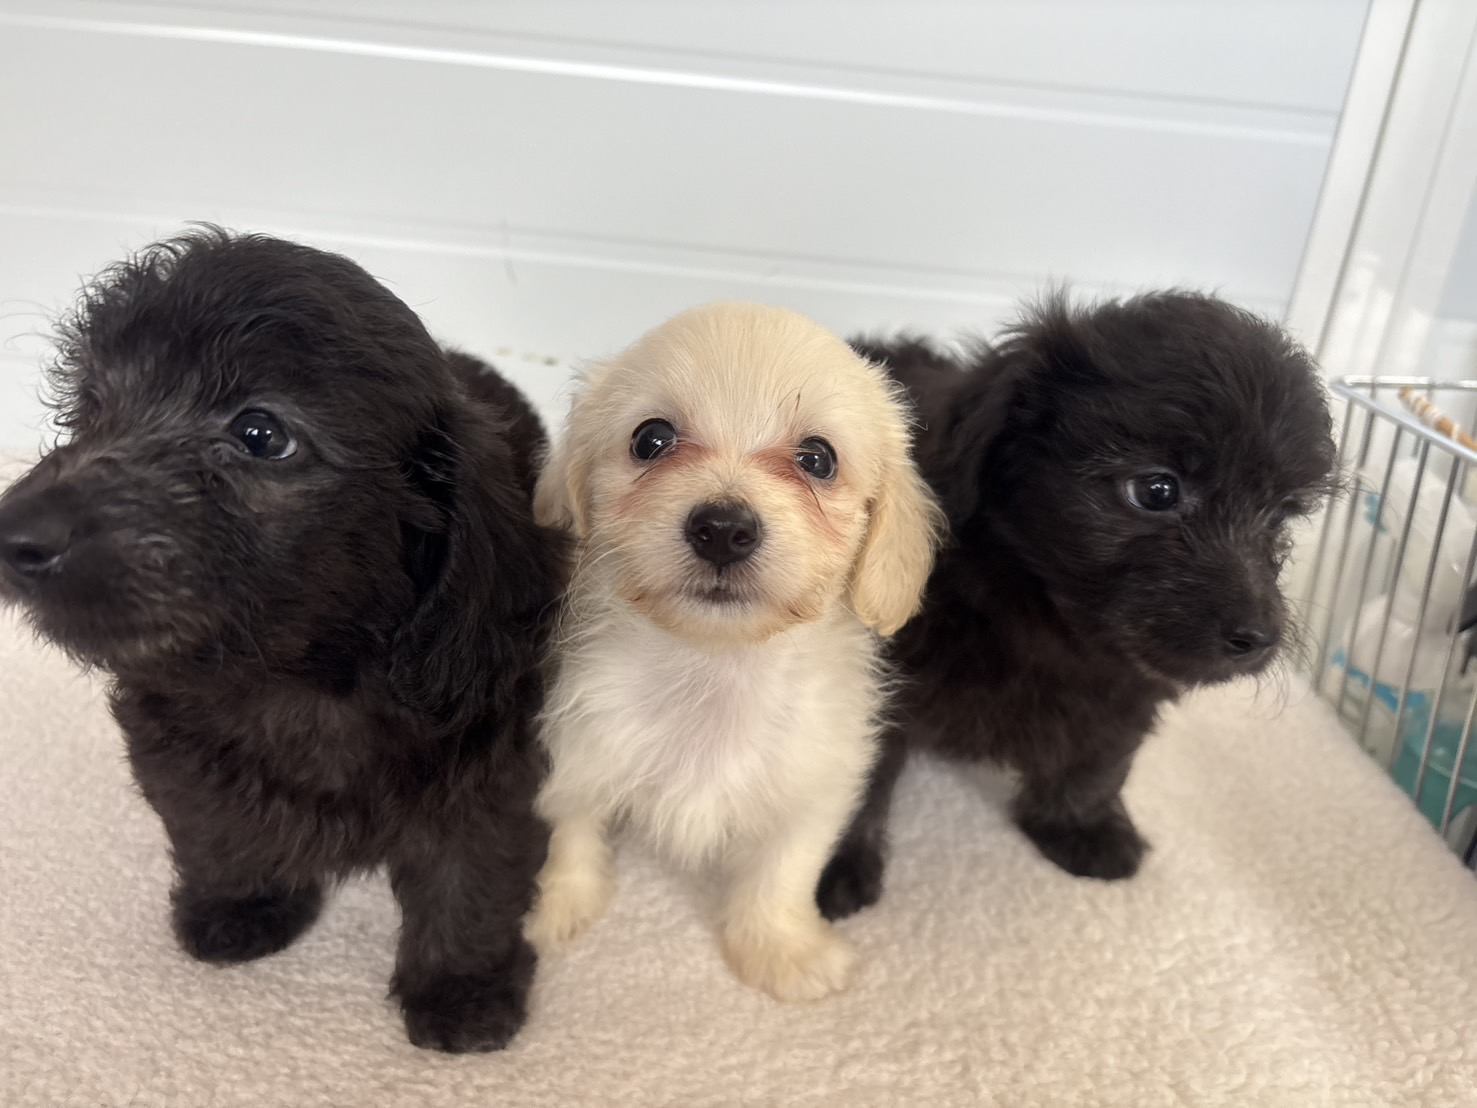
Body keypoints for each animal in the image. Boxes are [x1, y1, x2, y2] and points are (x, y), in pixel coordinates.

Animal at [0, 229, 565, 1052]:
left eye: (261, 434)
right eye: (95, 406)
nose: (15, 537)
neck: (302, 679)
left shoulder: (490, 765)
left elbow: (470, 880)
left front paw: (462, 990)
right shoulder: (174, 741)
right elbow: (213, 825)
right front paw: (243, 907)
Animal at [524, 302, 942, 1000]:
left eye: (818, 459)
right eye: (651, 439)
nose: (722, 528)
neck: (715, 667)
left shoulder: (810, 791)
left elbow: (781, 874)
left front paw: (780, 952)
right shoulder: (579, 751)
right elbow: (571, 833)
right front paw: (558, 907)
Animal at [816, 291, 1339, 920]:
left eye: (1281, 515)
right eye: (1156, 491)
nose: (1258, 637)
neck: (1039, 612)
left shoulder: (1123, 691)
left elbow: (1099, 761)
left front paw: (1079, 828)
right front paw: (824, 867)